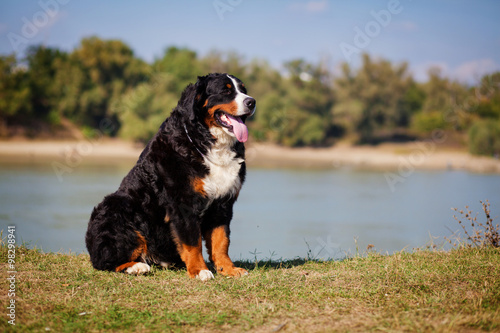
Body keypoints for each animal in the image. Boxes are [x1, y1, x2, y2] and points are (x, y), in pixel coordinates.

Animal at [85, 73, 256, 280]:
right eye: (226, 90)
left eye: (244, 90)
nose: (251, 102)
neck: (205, 143)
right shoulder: (183, 203)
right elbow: (192, 242)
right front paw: (199, 271)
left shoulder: (223, 204)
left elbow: (221, 241)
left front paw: (228, 269)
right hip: (116, 206)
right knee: (105, 260)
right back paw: (136, 267)